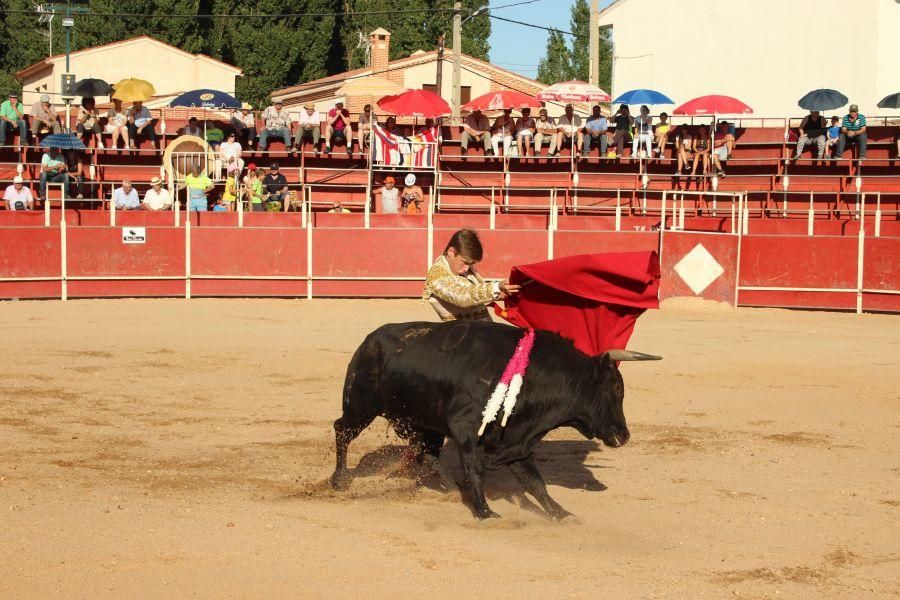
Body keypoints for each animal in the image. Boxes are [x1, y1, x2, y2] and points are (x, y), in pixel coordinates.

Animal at [332, 322, 660, 516]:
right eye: (616, 387)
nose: (624, 434)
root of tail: (368, 340)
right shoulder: (467, 432)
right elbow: (476, 470)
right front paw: (486, 512)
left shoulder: (517, 441)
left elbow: (536, 483)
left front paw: (562, 514)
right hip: (360, 405)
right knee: (342, 431)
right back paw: (338, 480)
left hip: (422, 423)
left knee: (428, 453)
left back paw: (450, 487)